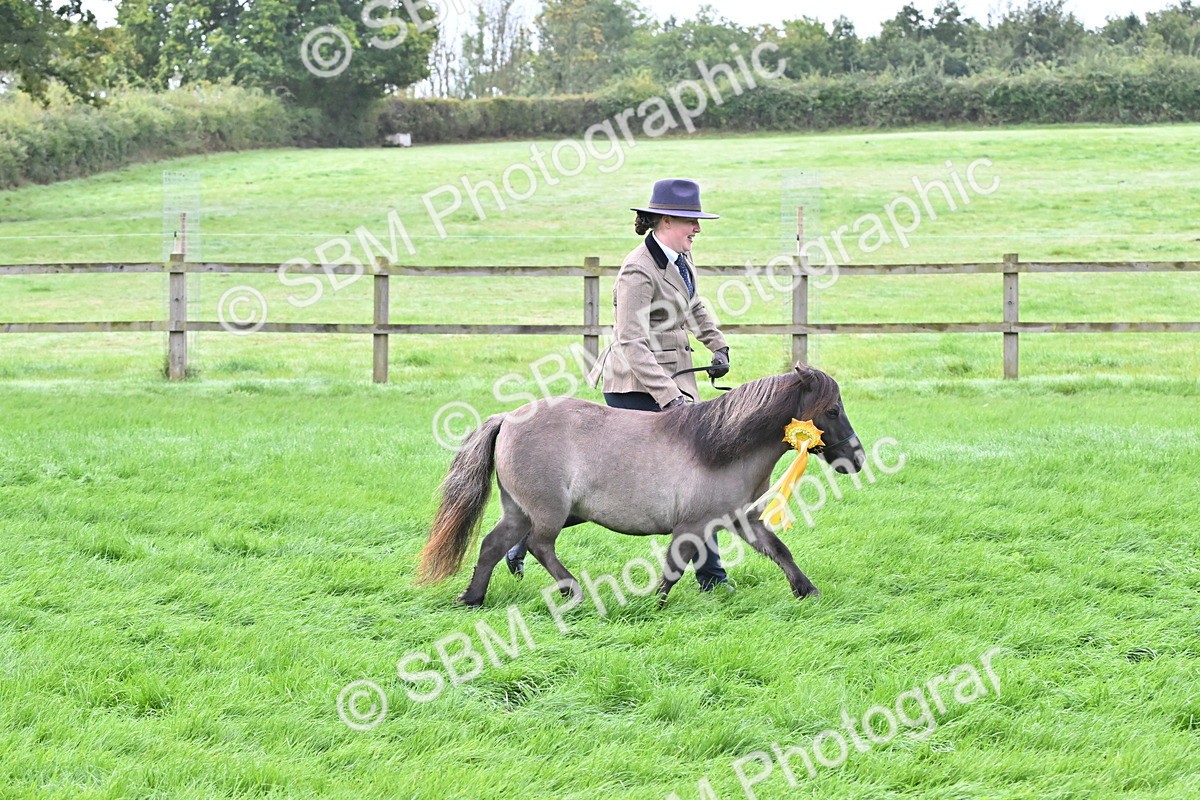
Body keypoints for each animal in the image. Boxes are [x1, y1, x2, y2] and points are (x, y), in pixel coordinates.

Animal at [417, 365, 865, 607]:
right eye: (831, 410)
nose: (857, 459)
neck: (721, 447)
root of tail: (508, 418)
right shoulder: (692, 526)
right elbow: (673, 567)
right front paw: (656, 605)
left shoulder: (743, 520)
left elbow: (779, 551)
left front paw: (807, 591)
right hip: (548, 511)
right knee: (539, 546)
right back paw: (574, 592)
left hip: (519, 510)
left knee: (495, 545)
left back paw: (473, 598)